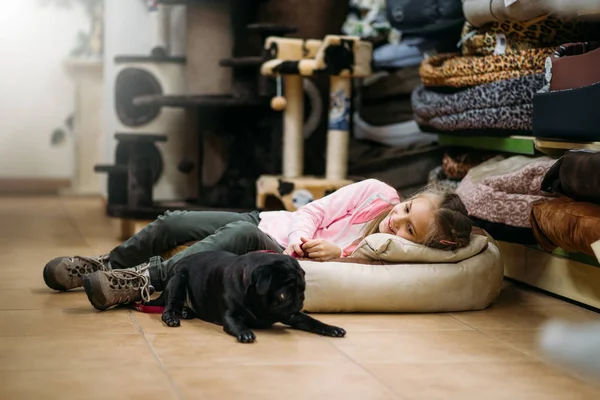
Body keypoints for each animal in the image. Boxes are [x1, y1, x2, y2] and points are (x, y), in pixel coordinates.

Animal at [158, 252, 346, 342]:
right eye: (284, 295)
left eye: (303, 290)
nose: (299, 302)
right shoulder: (231, 316)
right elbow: (237, 324)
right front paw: (245, 333)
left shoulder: (293, 315)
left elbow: (312, 321)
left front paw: (331, 328)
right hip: (178, 279)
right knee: (168, 307)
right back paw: (172, 318)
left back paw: (186, 312)